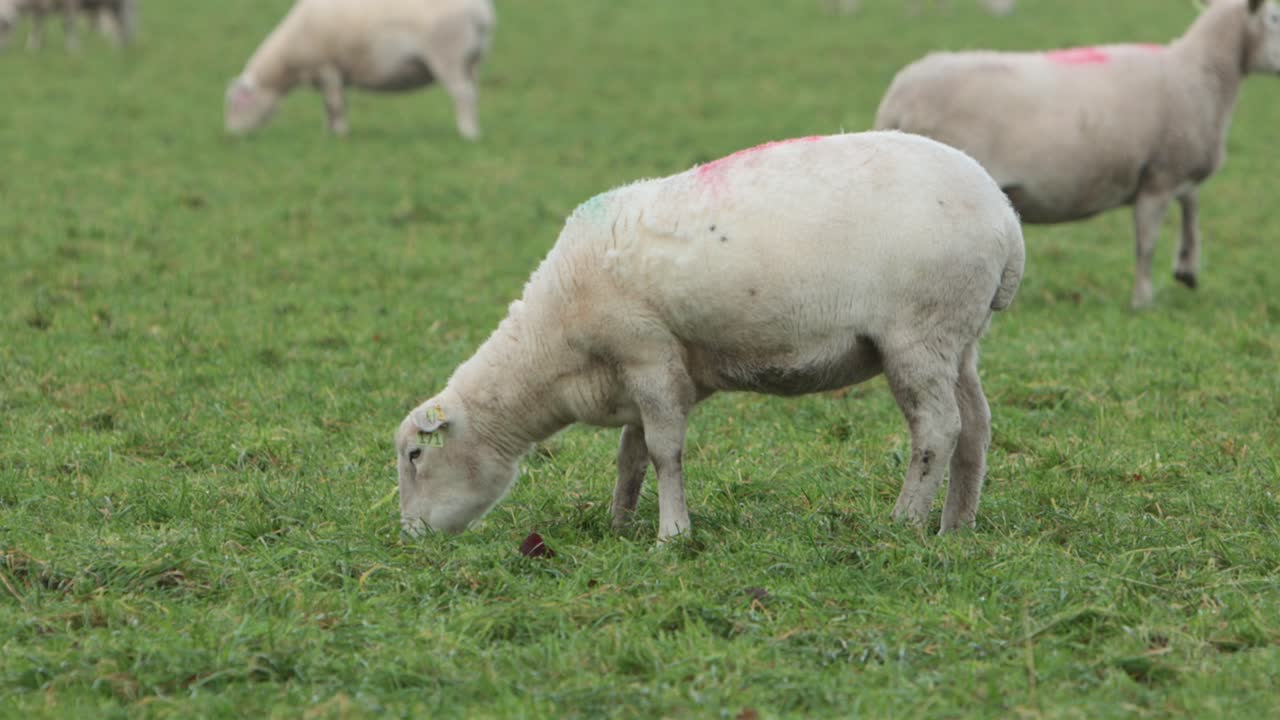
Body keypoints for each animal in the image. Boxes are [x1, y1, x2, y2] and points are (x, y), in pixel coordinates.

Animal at [225, 0, 495, 140]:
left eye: (235, 104)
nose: (230, 135)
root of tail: (482, 14)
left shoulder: (327, 68)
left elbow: (334, 105)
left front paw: (340, 134)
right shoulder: (335, 74)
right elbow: (335, 105)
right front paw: (331, 132)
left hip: (449, 56)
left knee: (463, 95)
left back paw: (467, 133)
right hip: (473, 61)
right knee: (473, 94)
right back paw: (474, 128)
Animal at [394, 131, 1025, 542]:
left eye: (416, 455)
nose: (411, 537)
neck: (556, 353)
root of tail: (1005, 218)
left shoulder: (648, 353)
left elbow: (662, 451)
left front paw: (671, 535)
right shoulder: (646, 372)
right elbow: (630, 456)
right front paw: (620, 523)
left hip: (919, 331)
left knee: (937, 429)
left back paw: (906, 522)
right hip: (959, 336)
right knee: (976, 426)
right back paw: (956, 527)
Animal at [874, 0, 1280, 308]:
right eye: (1275, 18)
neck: (1204, 74)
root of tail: (897, 96)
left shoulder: (1174, 167)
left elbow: (1192, 205)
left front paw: (1187, 268)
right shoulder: (1159, 175)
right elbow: (1146, 243)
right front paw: (1143, 300)